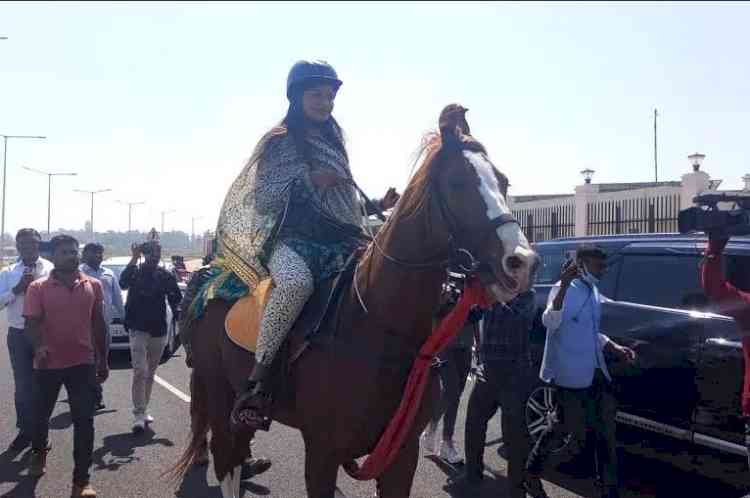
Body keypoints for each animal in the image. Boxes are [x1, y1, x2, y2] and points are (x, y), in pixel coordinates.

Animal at [173, 103, 536, 496]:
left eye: (504, 182)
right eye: (458, 183)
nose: (522, 262)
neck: (376, 325)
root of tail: (210, 284)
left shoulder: (400, 455)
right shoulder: (321, 452)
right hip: (221, 396)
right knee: (227, 462)